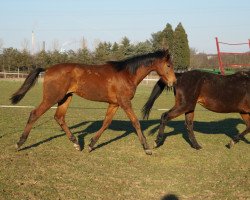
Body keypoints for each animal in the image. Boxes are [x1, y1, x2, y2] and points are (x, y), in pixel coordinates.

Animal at [9, 49, 176, 155]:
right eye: (168, 65)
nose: (173, 82)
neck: (126, 74)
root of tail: (48, 69)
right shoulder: (124, 102)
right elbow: (136, 122)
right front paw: (147, 148)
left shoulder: (114, 104)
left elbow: (106, 122)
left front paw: (90, 145)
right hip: (51, 98)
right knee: (34, 114)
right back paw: (19, 143)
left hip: (66, 97)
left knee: (59, 117)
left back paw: (76, 143)